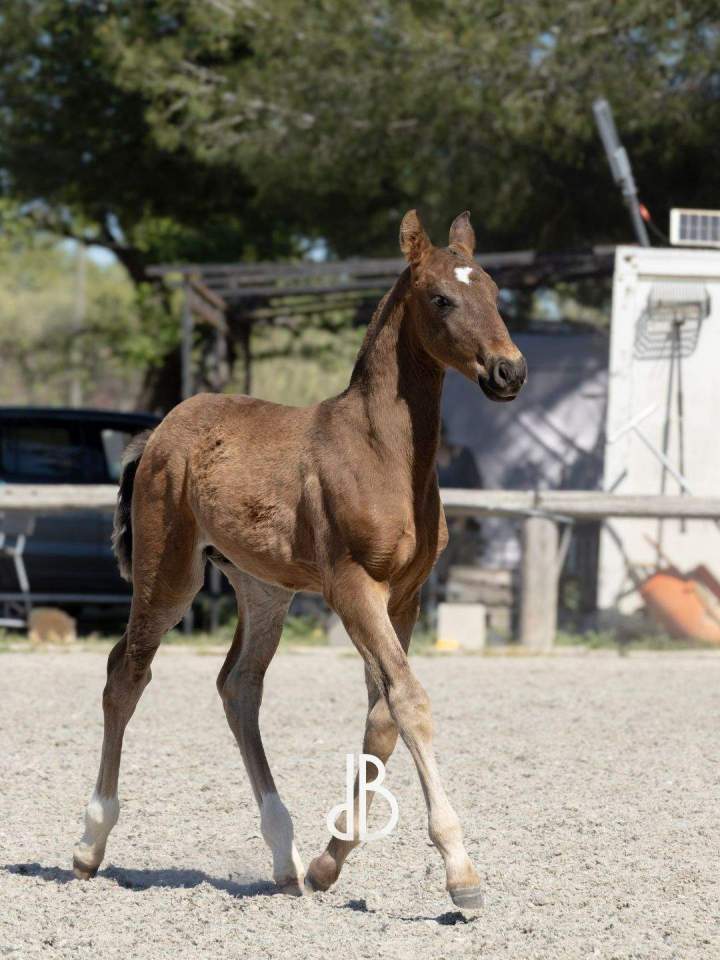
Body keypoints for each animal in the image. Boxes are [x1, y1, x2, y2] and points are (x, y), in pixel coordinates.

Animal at [73, 209, 527, 909]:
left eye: (496, 292)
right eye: (441, 298)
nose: (509, 372)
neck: (383, 453)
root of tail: (160, 432)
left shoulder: (406, 594)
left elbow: (382, 718)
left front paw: (327, 862)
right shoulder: (352, 587)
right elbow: (409, 702)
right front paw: (461, 871)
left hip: (264, 588)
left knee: (239, 686)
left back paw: (285, 857)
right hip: (168, 576)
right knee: (127, 673)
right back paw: (90, 844)